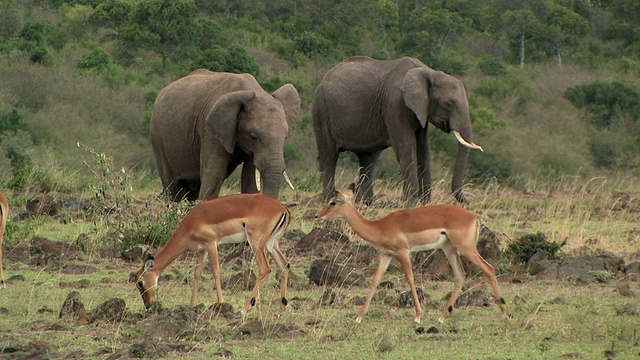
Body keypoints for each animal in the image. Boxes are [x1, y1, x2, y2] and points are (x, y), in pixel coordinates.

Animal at [151, 69, 302, 201]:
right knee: (173, 189)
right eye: (253, 136)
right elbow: (214, 175)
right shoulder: (210, 130)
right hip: (157, 136)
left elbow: (249, 179)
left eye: (285, 137)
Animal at [312, 54, 482, 204]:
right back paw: (330, 200)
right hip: (321, 111)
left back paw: (365, 203)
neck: (429, 72)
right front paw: (412, 204)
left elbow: (424, 149)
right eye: (449, 104)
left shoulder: (421, 109)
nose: (469, 201)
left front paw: (425, 203)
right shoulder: (395, 103)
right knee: (330, 156)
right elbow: (406, 147)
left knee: (368, 159)